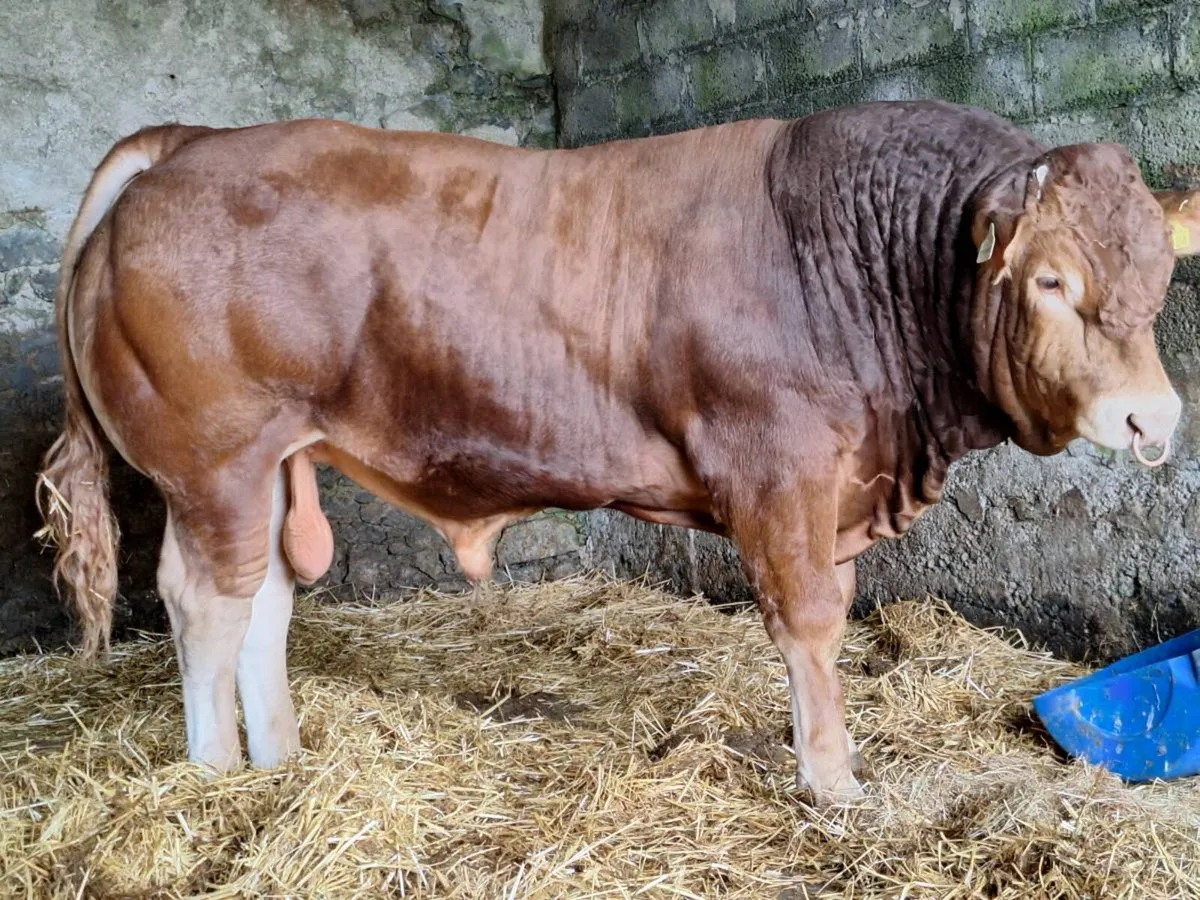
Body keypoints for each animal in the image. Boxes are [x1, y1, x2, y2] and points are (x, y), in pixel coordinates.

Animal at [36, 99, 1199, 807]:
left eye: (1158, 273)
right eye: (1049, 279)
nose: (1154, 420)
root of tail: (190, 141)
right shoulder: (778, 468)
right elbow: (812, 622)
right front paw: (832, 780)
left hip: (277, 459)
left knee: (265, 598)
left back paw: (278, 759)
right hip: (214, 459)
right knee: (203, 601)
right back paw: (215, 773)